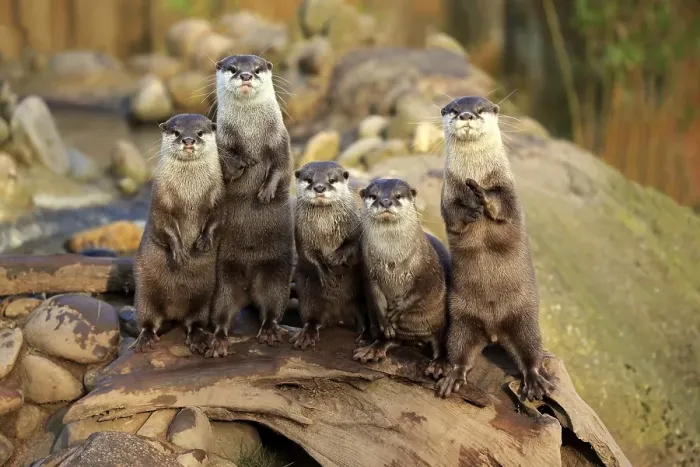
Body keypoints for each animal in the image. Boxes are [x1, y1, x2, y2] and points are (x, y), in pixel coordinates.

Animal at [132, 114, 222, 354]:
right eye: (176, 132)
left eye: (199, 132)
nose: (188, 140)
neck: (189, 194)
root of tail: (175, 311)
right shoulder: (160, 200)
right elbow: (164, 225)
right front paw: (179, 252)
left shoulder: (219, 196)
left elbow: (217, 218)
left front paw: (203, 243)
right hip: (144, 291)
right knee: (148, 319)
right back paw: (145, 338)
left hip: (205, 294)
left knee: (195, 321)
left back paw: (199, 337)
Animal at [208, 54, 294, 356]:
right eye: (233, 68)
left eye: (256, 69)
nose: (245, 75)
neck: (252, 136)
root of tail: (248, 284)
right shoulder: (222, 142)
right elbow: (226, 161)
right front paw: (241, 163)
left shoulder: (281, 141)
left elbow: (280, 167)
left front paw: (266, 192)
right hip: (223, 277)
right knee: (221, 311)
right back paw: (219, 341)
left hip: (276, 273)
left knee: (272, 306)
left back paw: (269, 331)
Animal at [290, 161, 368, 350]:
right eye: (309, 179)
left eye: (331, 180)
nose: (319, 187)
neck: (324, 228)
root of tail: (339, 314)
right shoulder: (302, 234)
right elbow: (308, 254)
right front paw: (326, 274)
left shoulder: (355, 226)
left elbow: (354, 246)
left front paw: (336, 257)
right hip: (308, 295)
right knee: (312, 318)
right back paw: (306, 335)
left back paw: (365, 337)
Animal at [353, 178, 450, 377]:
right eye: (373, 195)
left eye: (398, 195)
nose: (385, 202)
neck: (392, 260)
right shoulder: (368, 271)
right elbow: (374, 296)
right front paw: (386, 320)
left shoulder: (428, 269)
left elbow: (422, 289)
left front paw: (398, 309)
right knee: (391, 340)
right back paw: (373, 349)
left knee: (442, 341)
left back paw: (439, 364)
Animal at [436, 96, 554, 401]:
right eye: (454, 109)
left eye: (479, 110)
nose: (466, 115)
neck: (475, 171)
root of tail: (492, 330)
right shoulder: (448, 193)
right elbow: (454, 215)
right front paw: (471, 207)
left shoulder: (509, 190)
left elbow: (502, 205)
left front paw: (481, 194)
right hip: (461, 319)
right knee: (460, 352)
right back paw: (452, 375)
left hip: (526, 317)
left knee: (530, 352)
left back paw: (534, 382)